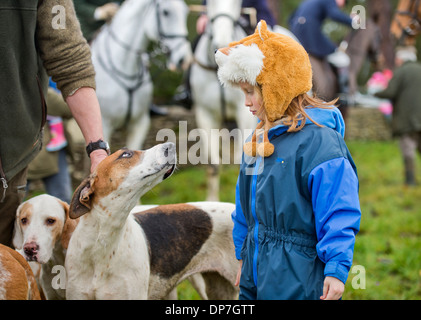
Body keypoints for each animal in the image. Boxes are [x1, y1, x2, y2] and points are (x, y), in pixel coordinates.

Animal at [190, 0, 256, 200]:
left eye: (237, 2)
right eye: (210, 2)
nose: (223, 44)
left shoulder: (244, 114)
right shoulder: (205, 115)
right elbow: (213, 165)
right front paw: (211, 201)